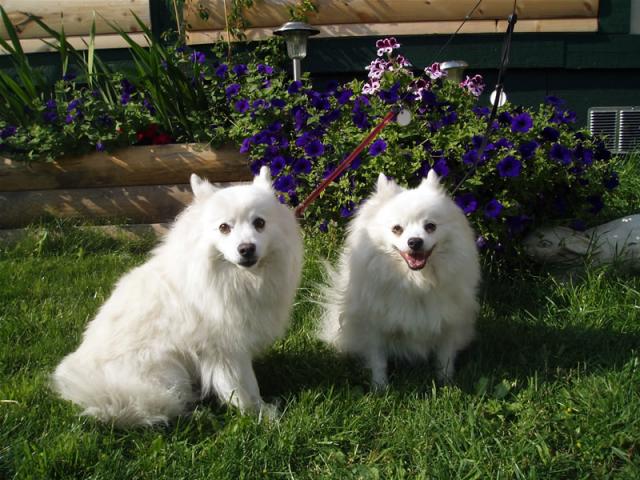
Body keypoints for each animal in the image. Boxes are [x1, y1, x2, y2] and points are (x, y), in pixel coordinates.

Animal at [52, 167, 303, 426]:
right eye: (224, 227)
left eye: (259, 223)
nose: (246, 248)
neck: (240, 277)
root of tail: (94, 391)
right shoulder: (227, 347)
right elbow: (244, 386)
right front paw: (262, 414)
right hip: (166, 369)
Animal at [318, 170, 480, 388]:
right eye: (397, 229)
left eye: (430, 226)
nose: (415, 242)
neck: (416, 281)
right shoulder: (374, 325)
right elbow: (378, 359)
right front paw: (380, 387)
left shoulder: (448, 321)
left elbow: (444, 356)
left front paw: (446, 382)